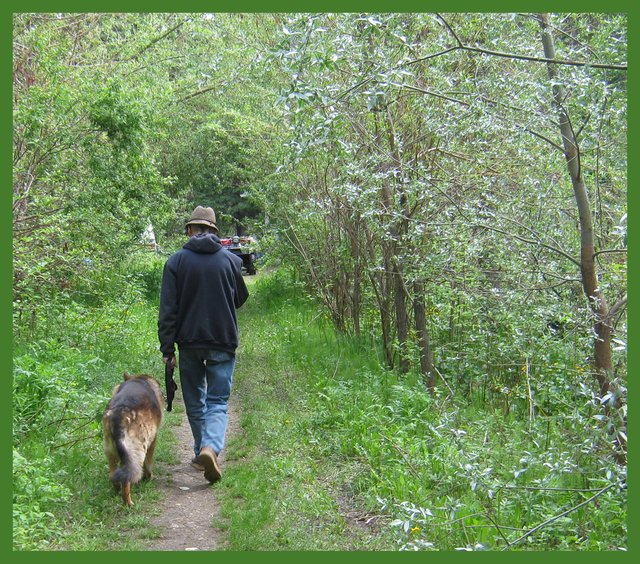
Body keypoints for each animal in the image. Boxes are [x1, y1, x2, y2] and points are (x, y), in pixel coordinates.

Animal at [102, 372, 162, 508]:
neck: (139, 379)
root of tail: (119, 413)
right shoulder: (153, 440)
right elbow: (149, 463)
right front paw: (148, 477)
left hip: (110, 450)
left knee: (113, 475)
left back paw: (117, 490)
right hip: (137, 451)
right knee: (127, 480)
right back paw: (128, 503)